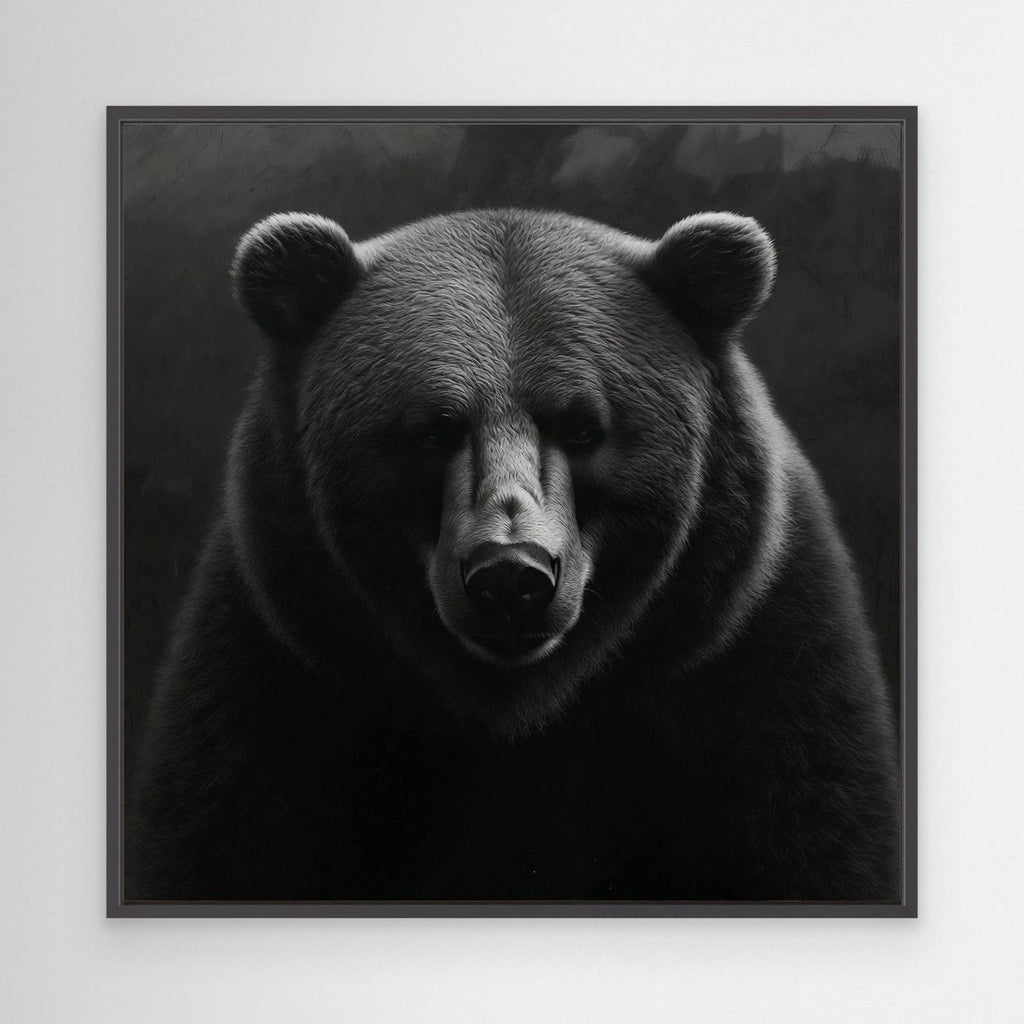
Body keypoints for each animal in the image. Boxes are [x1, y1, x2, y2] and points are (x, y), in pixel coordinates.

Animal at [127, 208, 899, 903]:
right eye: (433, 429)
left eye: (584, 426)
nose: (510, 576)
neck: (518, 711)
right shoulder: (280, 672)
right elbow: (224, 829)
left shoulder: (751, 667)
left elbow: (813, 826)